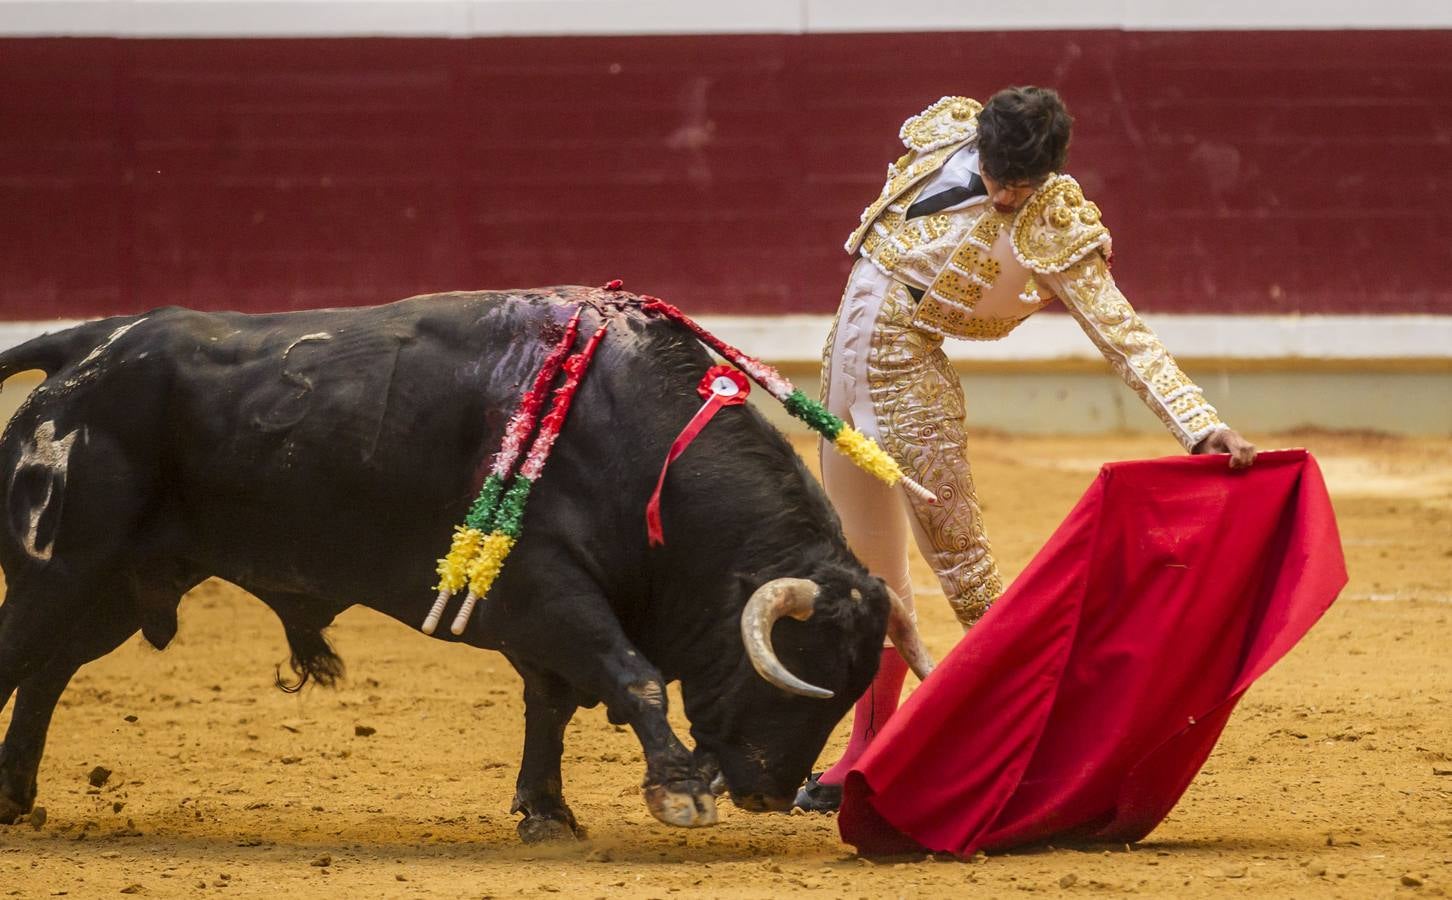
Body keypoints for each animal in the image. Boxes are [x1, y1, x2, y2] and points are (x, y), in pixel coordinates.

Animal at [0, 288, 906, 841]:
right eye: (797, 669)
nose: (771, 793)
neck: (638, 442)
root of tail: (89, 341)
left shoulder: (546, 616)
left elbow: (554, 704)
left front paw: (546, 813)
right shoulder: (545, 589)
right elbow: (631, 673)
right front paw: (678, 789)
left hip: (116, 589)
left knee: (47, 677)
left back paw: (16, 799)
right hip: (59, 573)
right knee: (24, 658)